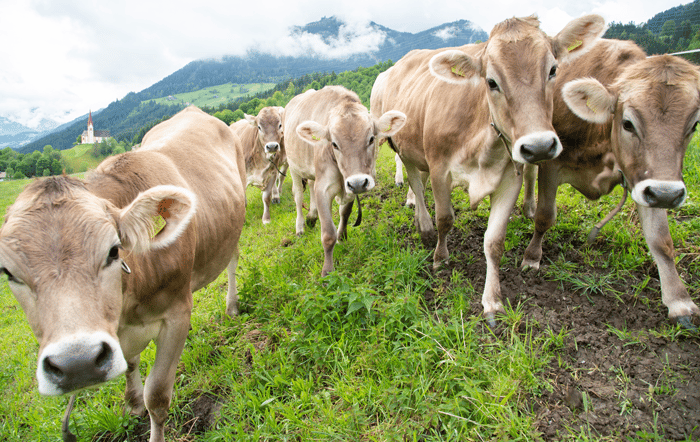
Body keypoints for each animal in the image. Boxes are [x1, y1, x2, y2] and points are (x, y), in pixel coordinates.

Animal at [0, 105, 246, 440]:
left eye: (114, 251)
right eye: (7, 272)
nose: (77, 363)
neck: (130, 302)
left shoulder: (177, 315)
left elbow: (158, 396)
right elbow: (130, 365)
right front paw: (133, 403)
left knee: (232, 261)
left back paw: (232, 305)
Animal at [284, 84, 404, 274]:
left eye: (371, 138)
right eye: (334, 144)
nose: (358, 182)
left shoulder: (350, 187)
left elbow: (345, 212)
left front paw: (342, 236)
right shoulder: (324, 188)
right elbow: (327, 234)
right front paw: (327, 271)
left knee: (310, 184)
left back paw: (312, 216)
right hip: (293, 166)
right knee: (298, 195)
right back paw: (300, 226)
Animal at [372, 14, 608, 324]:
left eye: (553, 70)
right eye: (491, 81)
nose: (539, 146)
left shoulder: (510, 179)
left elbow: (494, 242)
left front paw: (492, 300)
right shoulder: (439, 169)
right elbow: (445, 218)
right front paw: (440, 258)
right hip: (405, 148)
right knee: (416, 184)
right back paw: (423, 225)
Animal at [520, 38, 700, 328]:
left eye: (694, 125)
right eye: (628, 123)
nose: (667, 196)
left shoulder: (646, 181)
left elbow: (661, 240)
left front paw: (679, 301)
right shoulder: (552, 163)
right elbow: (546, 217)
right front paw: (532, 257)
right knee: (528, 171)